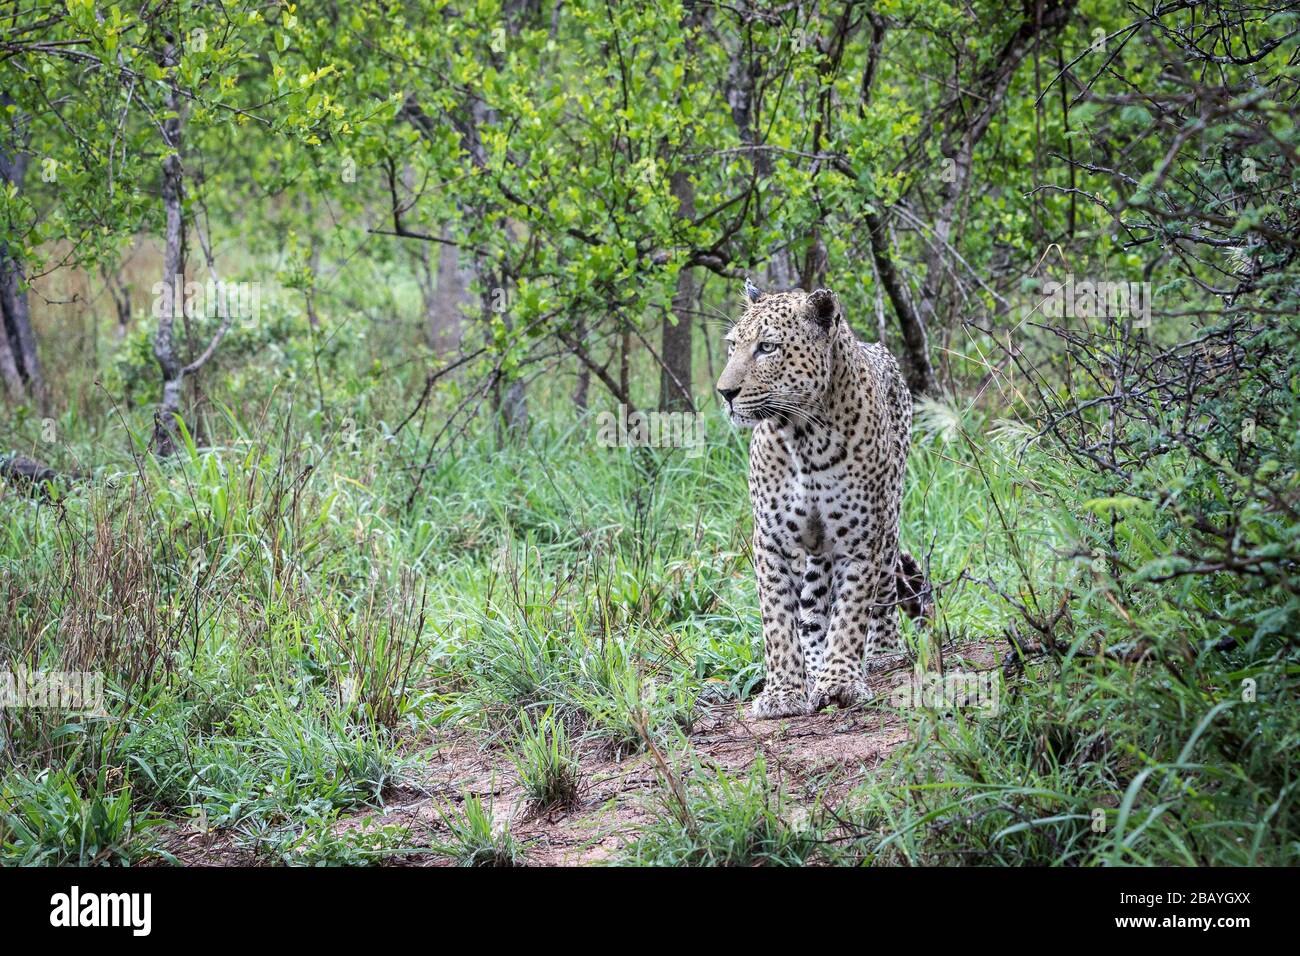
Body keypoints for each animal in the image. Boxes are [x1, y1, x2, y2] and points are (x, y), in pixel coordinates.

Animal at [722, 278, 925, 717]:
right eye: (732, 345)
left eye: (767, 347)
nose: (725, 392)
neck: (804, 437)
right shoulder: (771, 540)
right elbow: (778, 621)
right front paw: (783, 692)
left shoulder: (861, 538)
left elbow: (851, 613)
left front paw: (840, 683)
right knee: (812, 605)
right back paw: (814, 664)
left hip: (889, 520)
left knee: (883, 592)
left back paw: (883, 651)